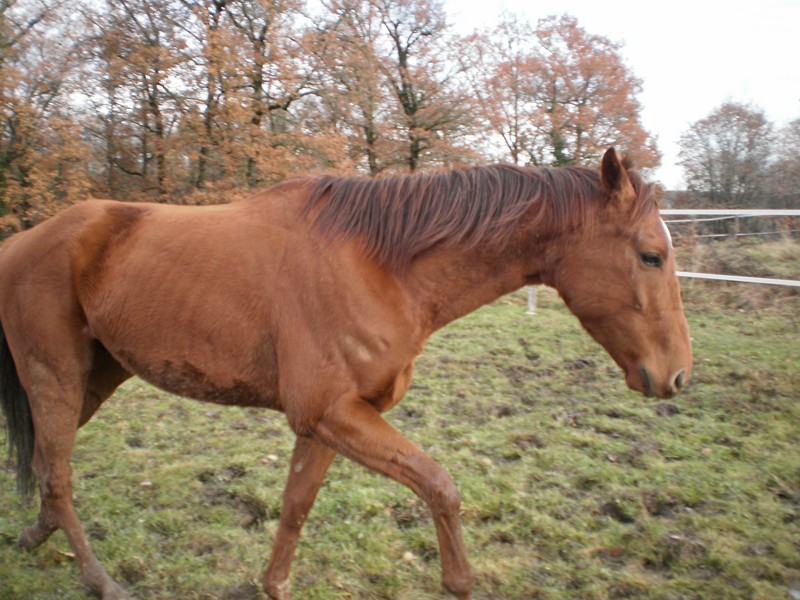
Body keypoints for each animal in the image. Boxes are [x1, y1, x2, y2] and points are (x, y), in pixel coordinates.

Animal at [0, 148, 692, 596]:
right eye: (650, 256)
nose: (679, 376)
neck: (380, 264)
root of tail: (23, 241)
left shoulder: (329, 423)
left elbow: (295, 507)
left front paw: (272, 586)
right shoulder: (332, 414)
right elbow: (440, 487)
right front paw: (459, 581)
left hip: (95, 379)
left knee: (45, 467)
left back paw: (34, 538)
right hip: (56, 376)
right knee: (58, 476)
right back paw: (101, 581)